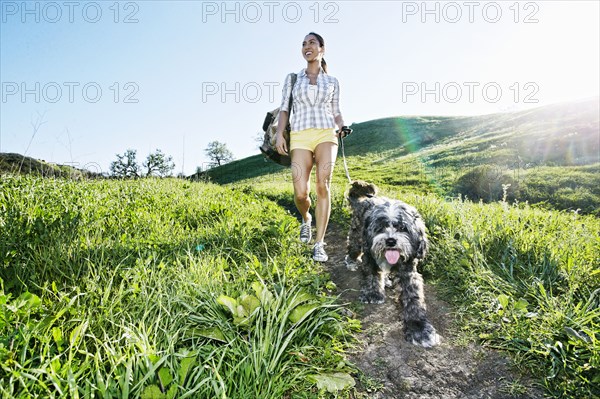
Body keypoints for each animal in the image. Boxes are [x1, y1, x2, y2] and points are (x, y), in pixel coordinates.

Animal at [344, 180, 438, 348]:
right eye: (380, 227)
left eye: (403, 228)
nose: (390, 241)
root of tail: (362, 201)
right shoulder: (370, 256)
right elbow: (372, 275)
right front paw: (373, 294)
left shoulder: (408, 271)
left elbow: (413, 297)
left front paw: (419, 328)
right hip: (357, 237)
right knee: (353, 247)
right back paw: (351, 261)